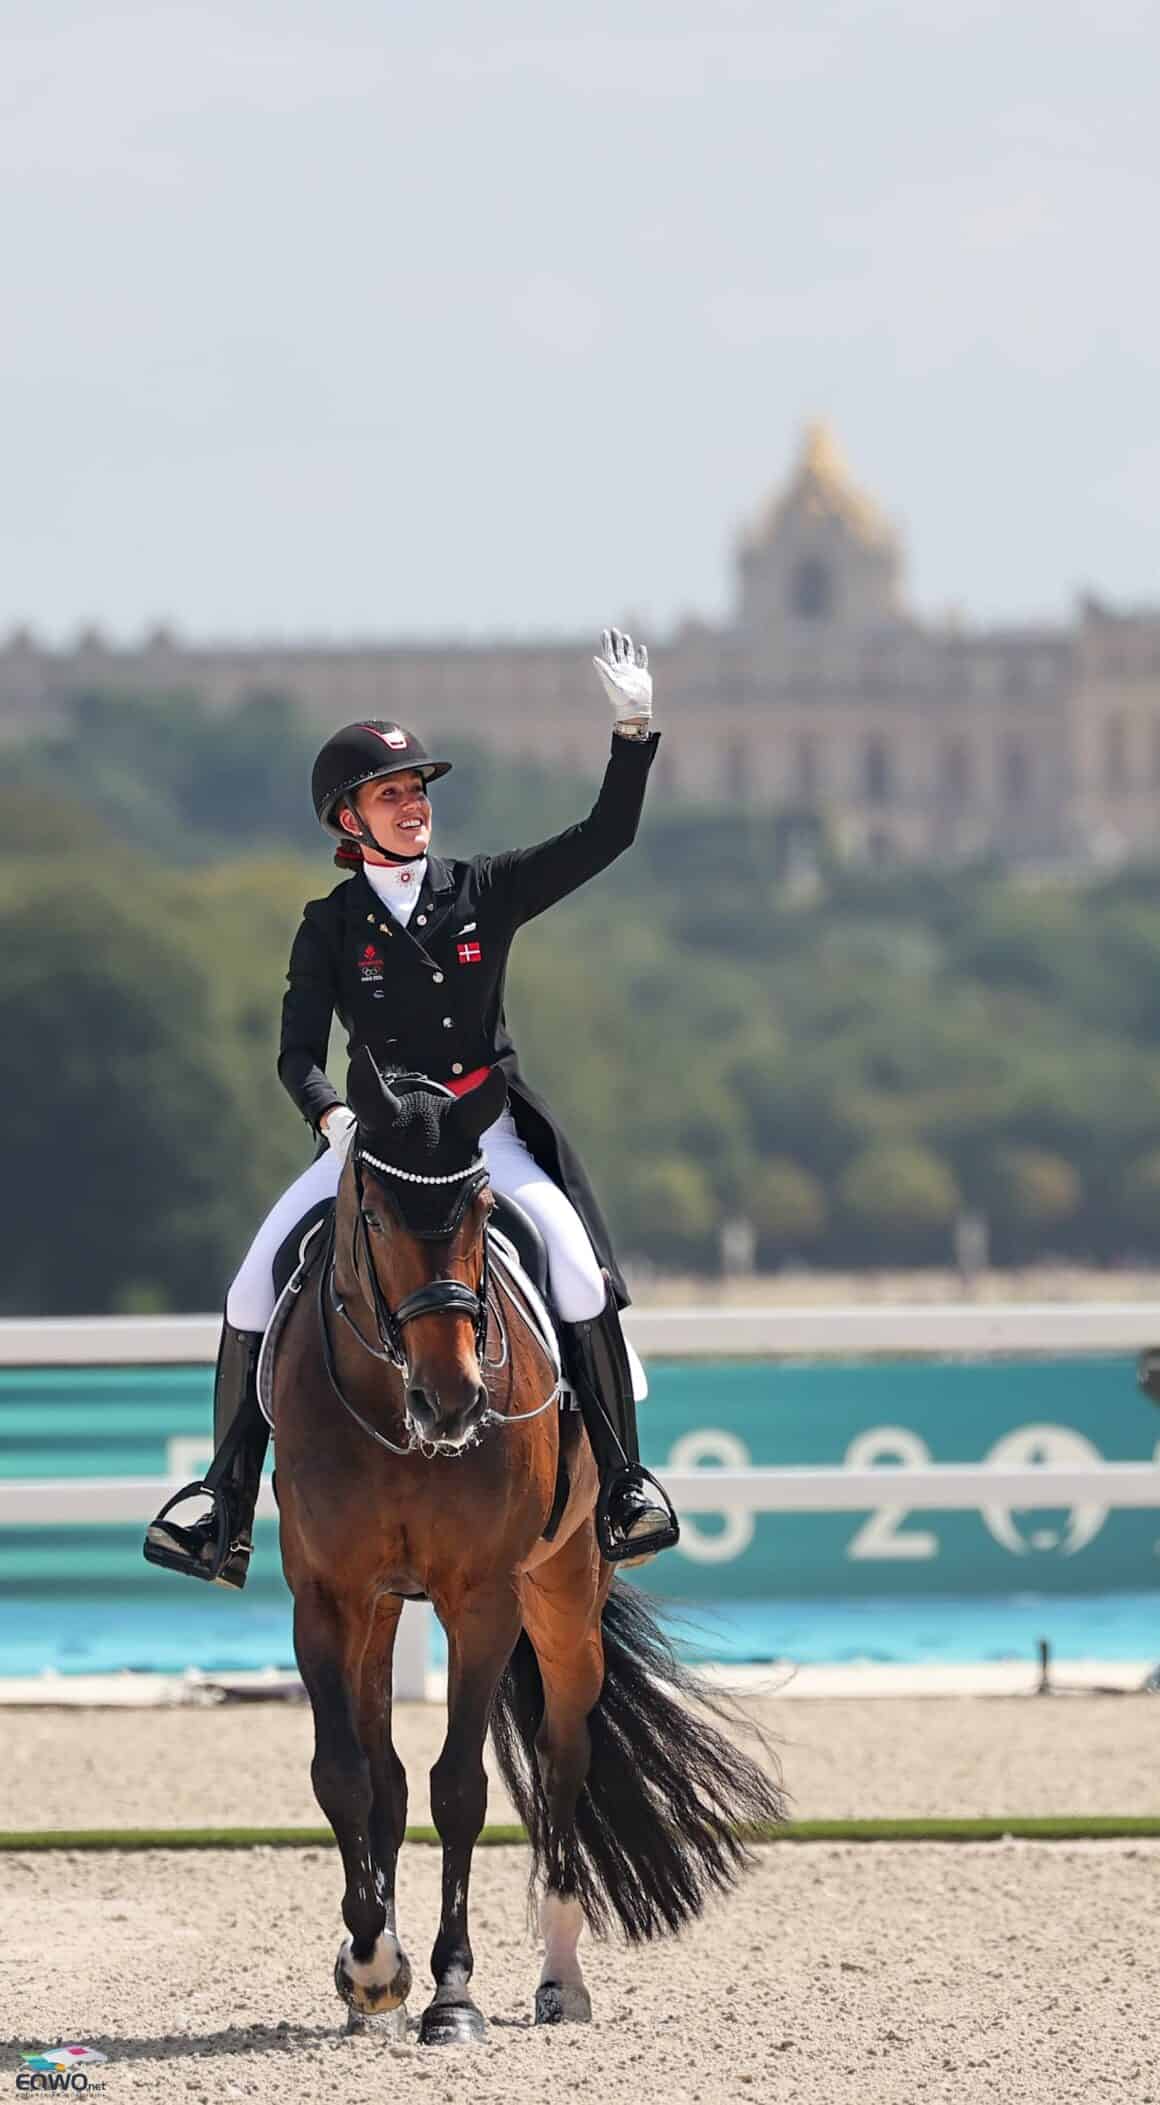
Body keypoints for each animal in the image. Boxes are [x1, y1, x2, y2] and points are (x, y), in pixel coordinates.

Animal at [267, 1048, 787, 2037]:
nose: (454, 1401)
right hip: (386, 1610)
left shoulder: (483, 1598)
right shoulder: (328, 1595)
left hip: (563, 1590)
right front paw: (370, 1966)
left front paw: (451, 1992)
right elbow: (344, 1774)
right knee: (388, 1771)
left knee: (561, 1759)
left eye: (479, 1213)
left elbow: (460, 1789)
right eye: (375, 1215)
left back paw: (559, 1975)